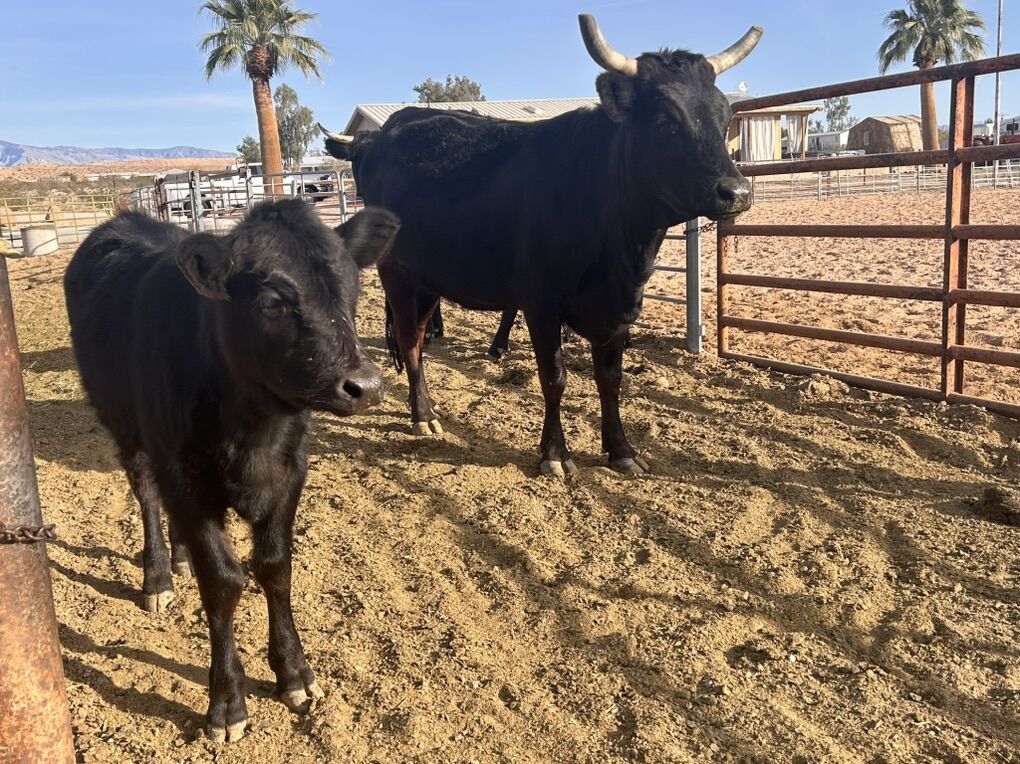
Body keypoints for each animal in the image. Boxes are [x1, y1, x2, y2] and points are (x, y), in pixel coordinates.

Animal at [64, 200, 399, 742]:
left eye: (354, 289)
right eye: (271, 302)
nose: (365, 386)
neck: (253, 433)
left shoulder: (290, 472)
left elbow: (275, 567)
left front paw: (294, 673)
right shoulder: (184, 477)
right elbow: (222, 582)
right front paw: (226, 702)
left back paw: (180, 558)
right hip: (126, 427)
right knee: (147, 495)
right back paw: (159, 575)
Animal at [321, 14, 760, 478]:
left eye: (724, 118)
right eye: (665, 121)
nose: (736, 192)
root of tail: (384, 138)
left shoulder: (619, 309)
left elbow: (610, 379)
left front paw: (621, 450)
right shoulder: (542, 304)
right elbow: (554, 378)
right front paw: (554, 454)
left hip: (428, 278)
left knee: (420, 337)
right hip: (398, 274)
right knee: (408, 340)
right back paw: (422, 415)